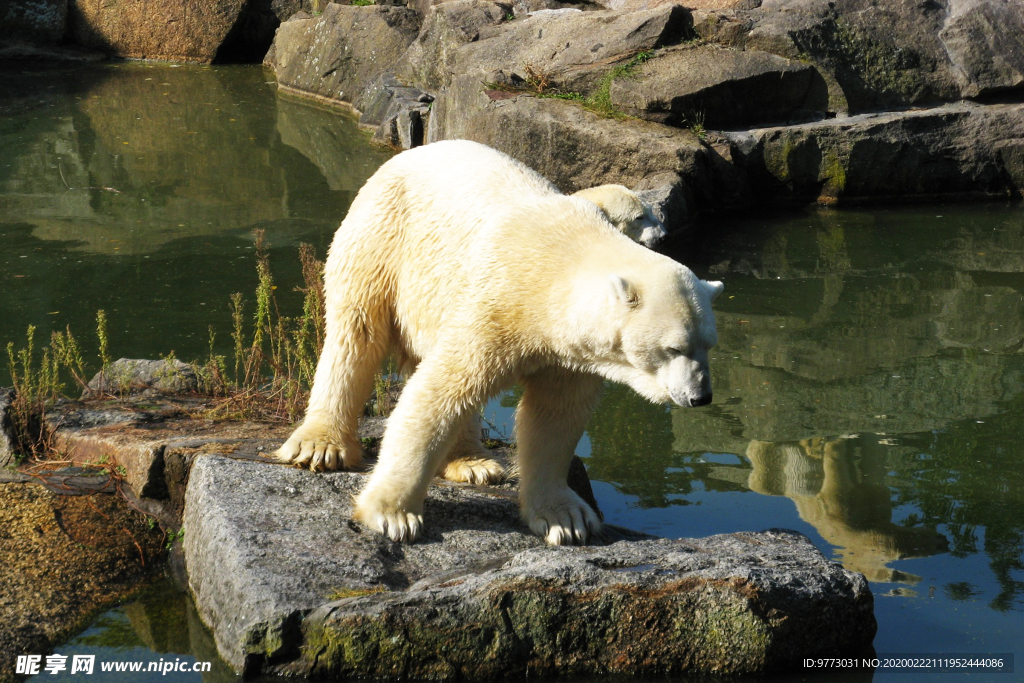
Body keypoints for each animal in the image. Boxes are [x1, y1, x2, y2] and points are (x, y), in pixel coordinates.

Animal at [272, 141, 720, 548]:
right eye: (674, 348)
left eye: (708, 345)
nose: (701, 397)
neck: (560, 261)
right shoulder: (496, 302)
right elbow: (438, 392)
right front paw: (392, 515)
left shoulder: (567, 351)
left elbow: (554, 415)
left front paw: (565, 518)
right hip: (382, 237)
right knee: (356, 333)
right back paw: (320, 445)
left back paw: (474, 464)